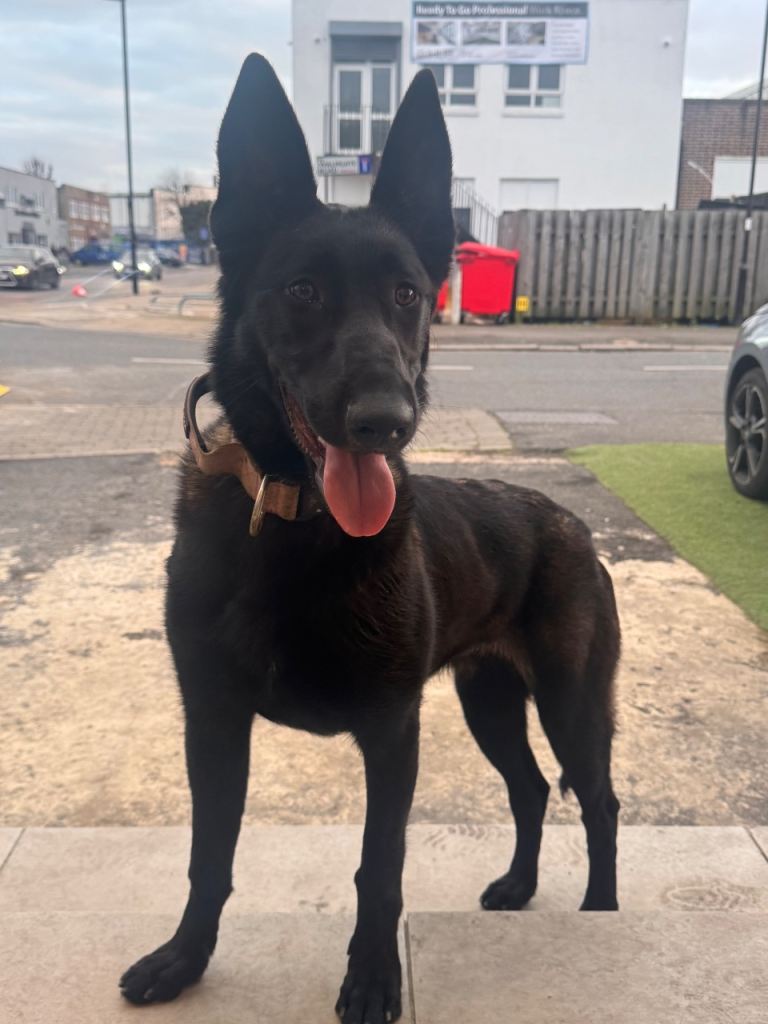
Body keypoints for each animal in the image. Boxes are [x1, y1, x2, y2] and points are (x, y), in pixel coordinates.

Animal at [119, 55, 621, 1024]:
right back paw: (520, 887)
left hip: (569, 703)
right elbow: (208, 858)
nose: (385, 423)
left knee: (601, 802)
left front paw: (373, 979)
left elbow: (378, 870)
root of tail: (569, 522)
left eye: (408, 296)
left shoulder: (393, 734)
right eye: (302, 291)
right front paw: (185, 960)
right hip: (491, 701)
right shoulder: (213, 722)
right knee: (533, 787)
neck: (294, 526)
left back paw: (601, 915)